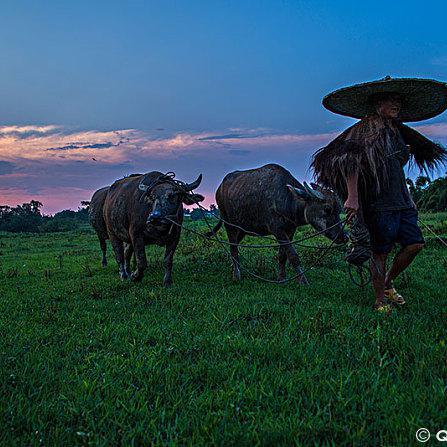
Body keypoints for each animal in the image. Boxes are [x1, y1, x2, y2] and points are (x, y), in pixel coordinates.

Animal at [208, 164, 348, 284]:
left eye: (339, 210)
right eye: (327, 209)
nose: (344, 237)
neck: (287, 200)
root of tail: (219, 188)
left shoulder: (290, 230)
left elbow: (282, 255)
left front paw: (281, 278)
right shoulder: (277, 230)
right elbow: (293, 255)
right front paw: (302, 280)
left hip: (243, 227)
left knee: (235, 244)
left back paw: (233, 268)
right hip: (229, 223)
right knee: (233, 247)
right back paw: (236, 275)